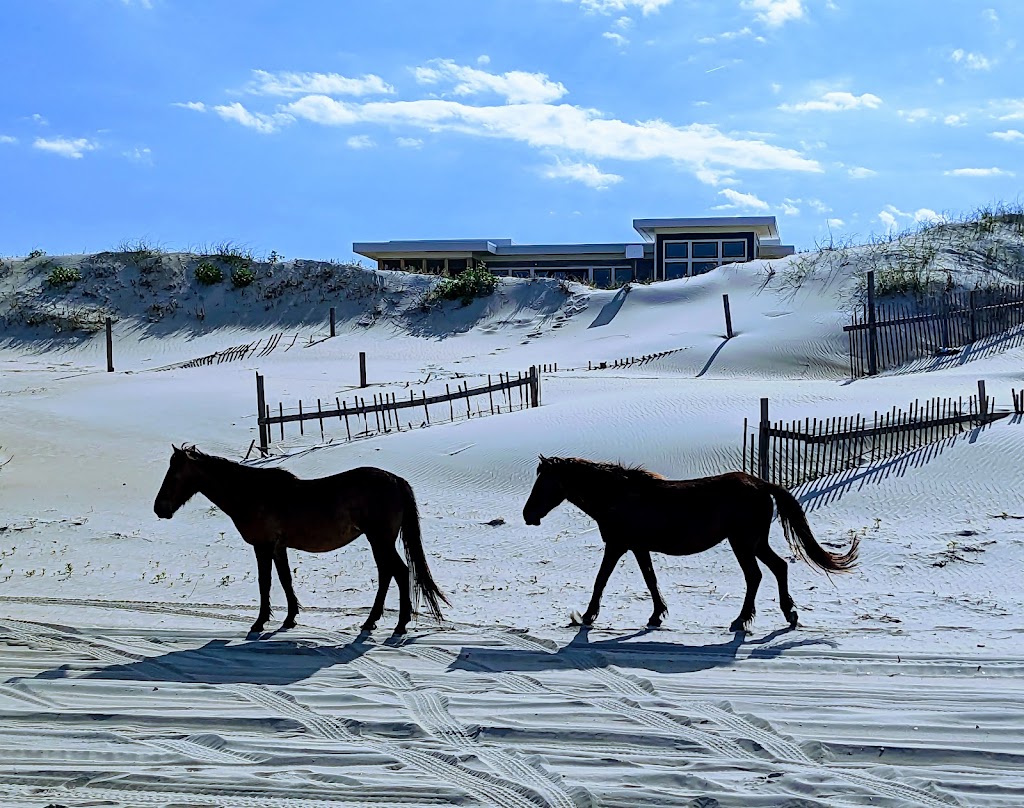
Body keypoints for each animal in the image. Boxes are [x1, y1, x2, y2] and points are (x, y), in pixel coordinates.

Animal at [153, 445, 449, 635]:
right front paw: (290, 619)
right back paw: (373, 621)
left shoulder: (263, 547)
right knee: (389, 573)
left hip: (380, 539)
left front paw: (259, 623)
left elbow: (265, 583)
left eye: (175, 474)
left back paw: (398, 625)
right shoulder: (278, 547)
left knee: (398, 572)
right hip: (378, 541)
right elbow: (285, 580)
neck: (252, 493)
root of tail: (395, 480)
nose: (159, 508)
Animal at [522, 456, 858, 632]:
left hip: (742, 542)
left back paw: (741, 620)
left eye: (544, 484)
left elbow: (600, 580)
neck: (617, 496)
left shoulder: (618, 545)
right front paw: (656, 615)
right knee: (779, 568)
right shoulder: (638, 547)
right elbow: (650, 580)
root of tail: (762, 485)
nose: (528, 515)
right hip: (755, 542)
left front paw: (587, 616)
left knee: (755, 576)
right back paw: (789, 614)